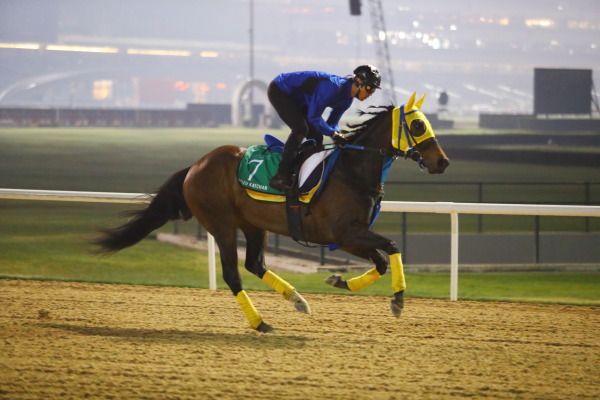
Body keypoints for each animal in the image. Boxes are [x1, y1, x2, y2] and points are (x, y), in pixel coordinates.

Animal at [95, 92, 450, 332]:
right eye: (418, 124)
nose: (442, 161)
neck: (352, 172)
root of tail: (195, 166)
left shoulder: (350, 236)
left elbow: (380, 261)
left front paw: (339, 281)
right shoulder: (344, 233)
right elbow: (391, 247)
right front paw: (398, 300)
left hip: (254, 225)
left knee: (255, 264)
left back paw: (298, 300)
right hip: (222, 225)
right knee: (233, 274)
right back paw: (260, 322)